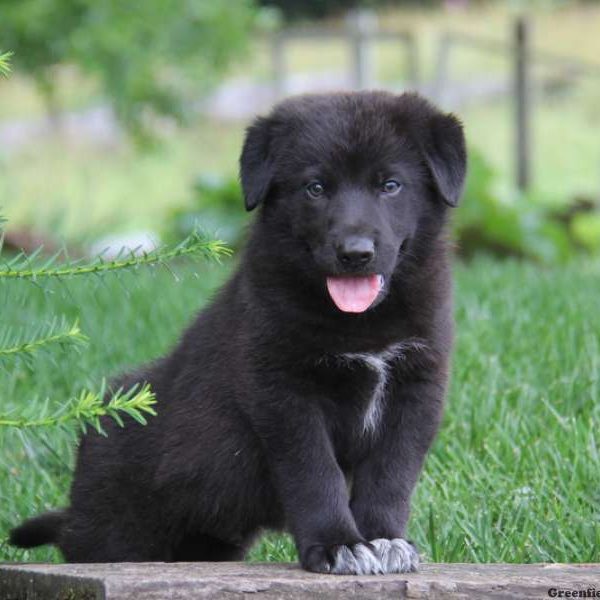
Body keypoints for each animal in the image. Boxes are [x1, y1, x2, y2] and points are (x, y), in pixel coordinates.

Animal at [11, 91, 466, 576]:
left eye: (391, 185)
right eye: (315, 188)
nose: (355, 253)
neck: (358, 322)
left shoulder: (416, 387)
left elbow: (391, 473)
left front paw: (384, 538)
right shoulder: (284, 391)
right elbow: (314, 473)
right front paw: (336, 544)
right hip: (115, 534)